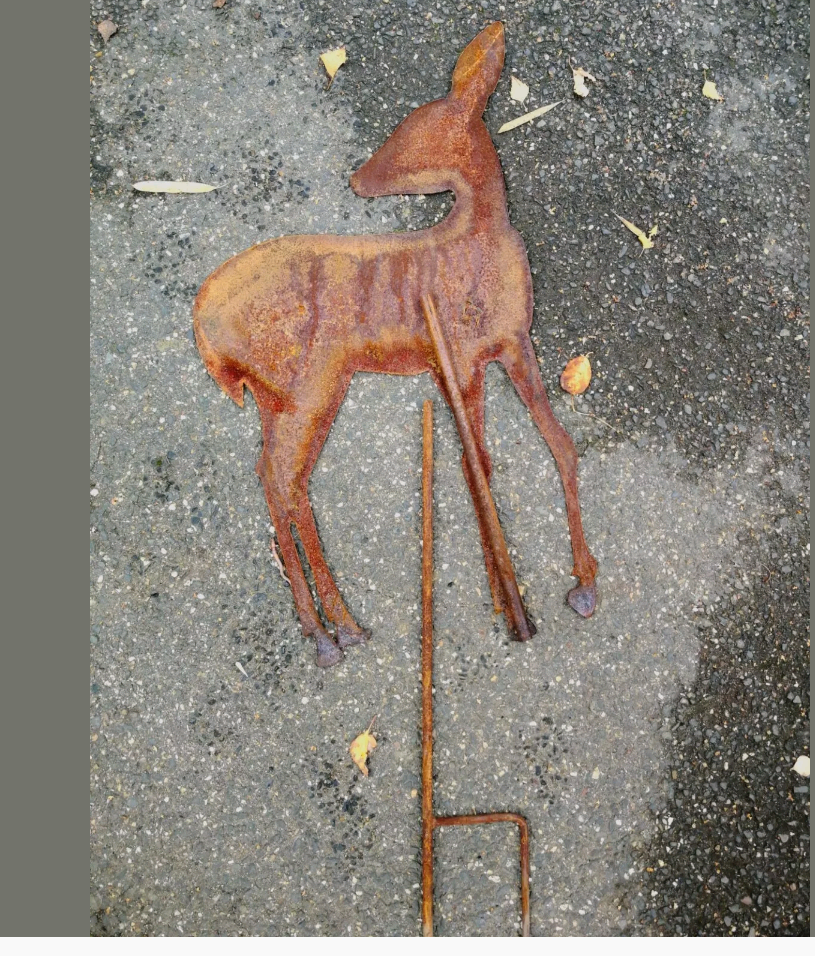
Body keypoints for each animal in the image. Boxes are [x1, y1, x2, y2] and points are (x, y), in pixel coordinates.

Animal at [194, 22, 598, 668]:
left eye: (412, 131)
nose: (357, 180)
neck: (480, 238)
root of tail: (202, 321)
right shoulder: (466, 353)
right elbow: (484, 460)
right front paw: (517, 596)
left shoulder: (505, 346)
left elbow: (546, 447)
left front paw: (553, 589)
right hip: (312, 379)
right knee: (283, 477)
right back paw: (335, 632)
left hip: (280, 391)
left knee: (276, 477)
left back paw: (331, 630)